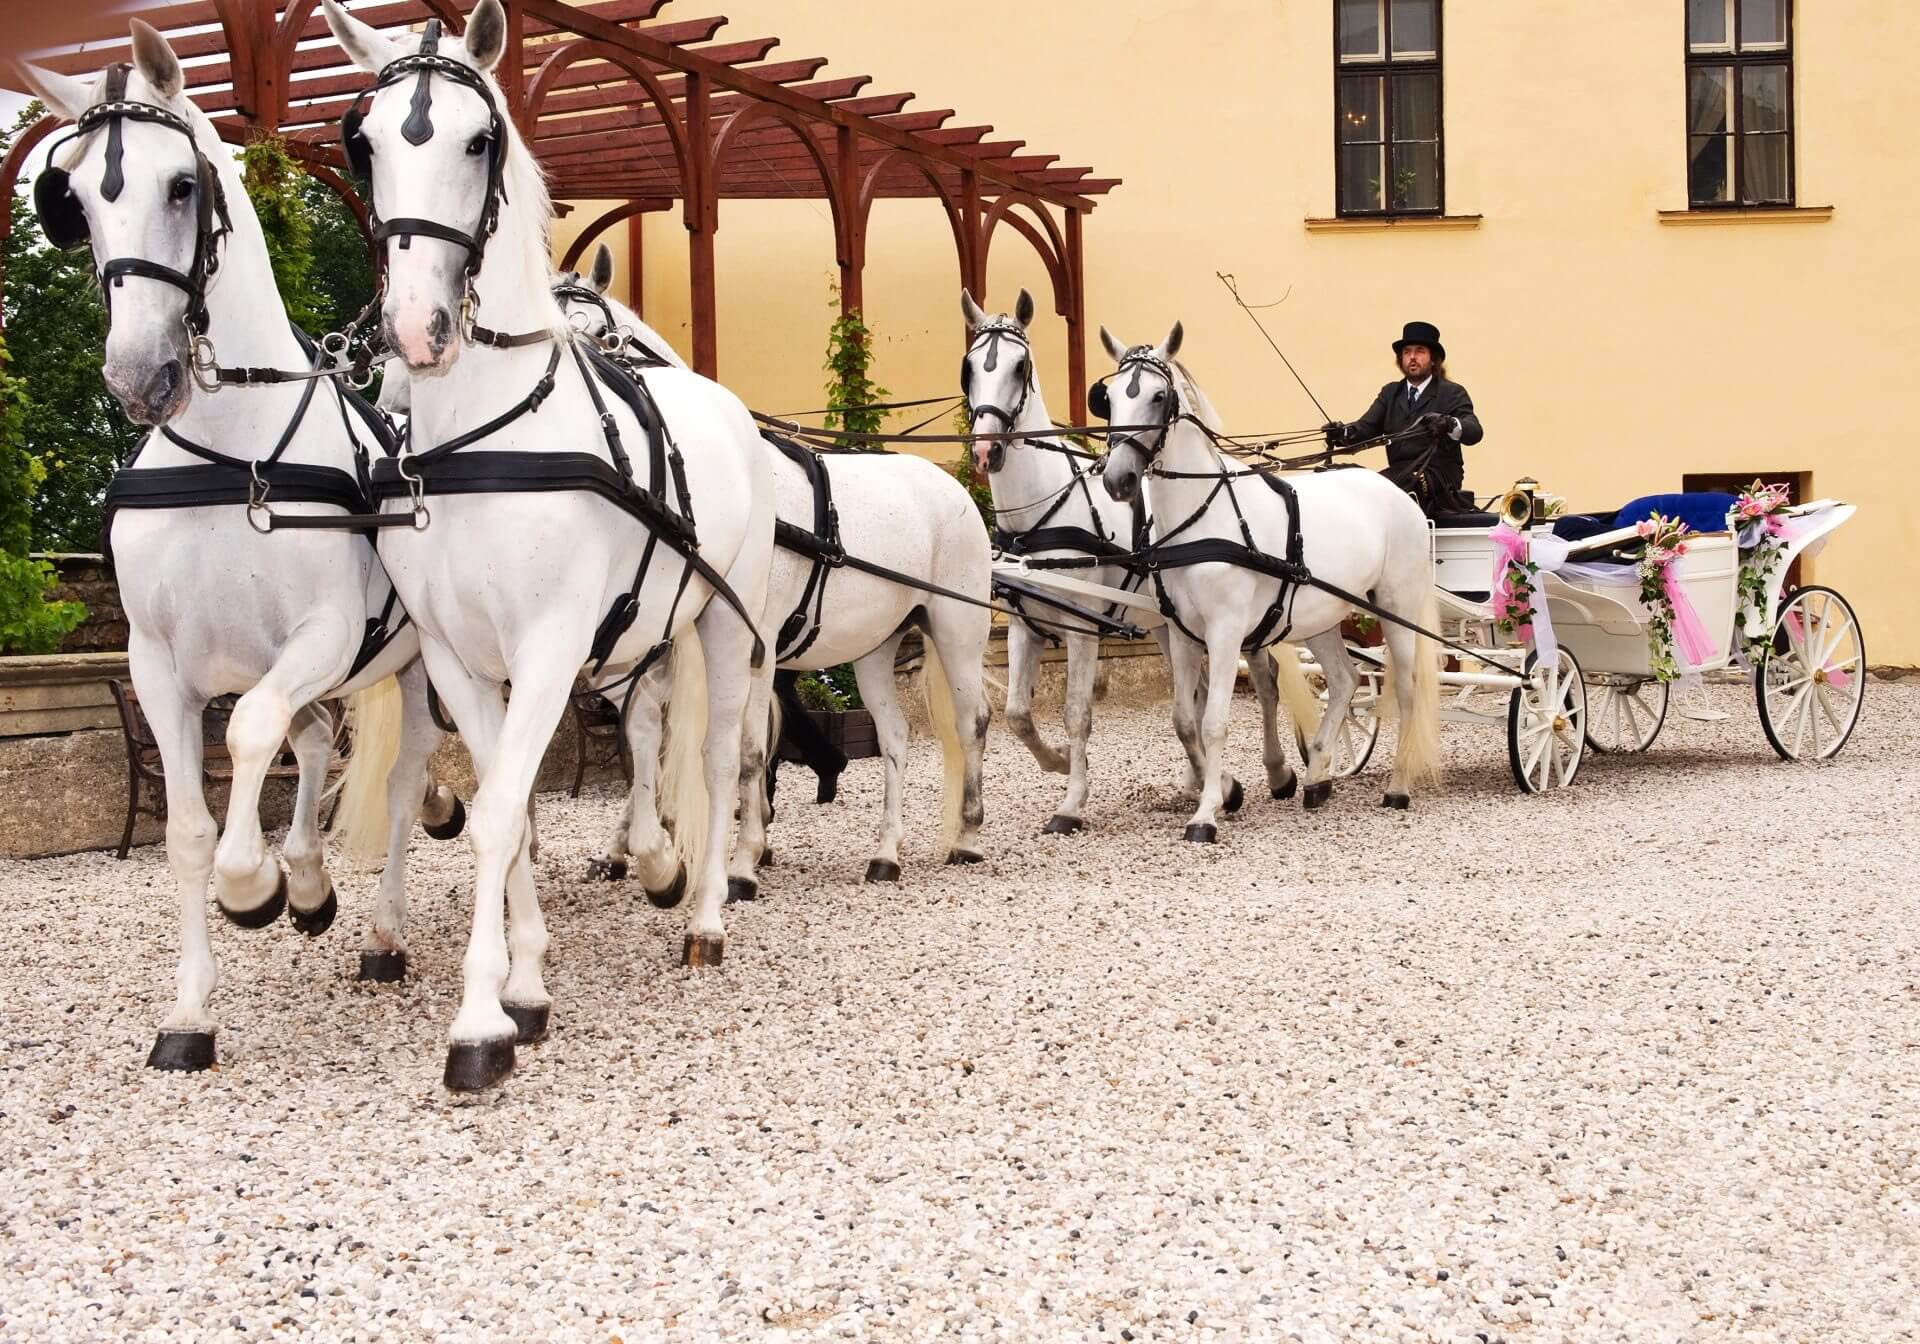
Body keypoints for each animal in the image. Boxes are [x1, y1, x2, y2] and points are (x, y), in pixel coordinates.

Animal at [24, 26, 462, 1075]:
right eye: (74, 199)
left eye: (182, 184)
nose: (139, 376)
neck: (229, 455)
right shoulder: (157, 667)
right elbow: (189, 829)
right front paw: (192, 1010)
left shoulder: (323, 635)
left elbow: (252, 736)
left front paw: (253, 886)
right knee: (317, 744)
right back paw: (310, 879)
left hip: (413, 658)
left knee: (399, 778)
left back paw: (382, 922)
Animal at [324, 0, 779, 1090]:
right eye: (363, 143)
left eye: (477, 140)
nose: (417, 329)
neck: (484, 444)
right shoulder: (460, 657)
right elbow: (508, 798)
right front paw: (525, 986)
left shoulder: (547, 647)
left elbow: (498, 811)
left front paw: (478, 1023)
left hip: (722, 624)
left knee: (719, 756)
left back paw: (706, 913)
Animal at [549, 251, 983, 890]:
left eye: (600, 338)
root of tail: (954, 487)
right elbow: (662, 743)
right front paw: (625, 849)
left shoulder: (754, 650)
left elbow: (747, 752)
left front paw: (742, 862)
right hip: (875, 648)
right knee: (896, 739)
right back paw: (886, 853)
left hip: (958, 629)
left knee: (973, 721)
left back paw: (969, 837)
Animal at [1098, 320, 1443, 833]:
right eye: (1110, 396)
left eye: (1159, 397)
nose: (1117, 479)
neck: (1204, 516)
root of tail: (1398, 494)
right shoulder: (1181, 633)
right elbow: (1184, 719)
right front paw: (1225, 792)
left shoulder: (1224, 632)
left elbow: (1213, 721)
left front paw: (1207, 813)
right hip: (1322, 616)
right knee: (1345, 680)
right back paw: (1318, 778)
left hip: (1396, 607)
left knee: (1405, 689)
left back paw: (1397, 788)